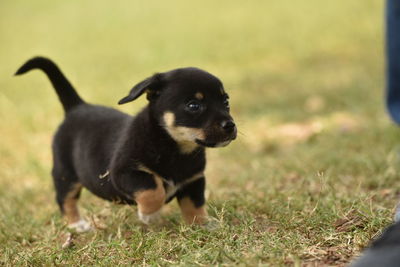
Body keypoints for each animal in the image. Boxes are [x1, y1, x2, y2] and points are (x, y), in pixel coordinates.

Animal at [15, 56, 236, 232]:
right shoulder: (125, 172)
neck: (175, 148)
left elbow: (195, 206)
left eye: (226, 102)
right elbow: (153, 189)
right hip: (65, 174)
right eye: (194, 105)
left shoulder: (193, 181)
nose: (231, 126)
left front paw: (201, 225)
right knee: (65, 200)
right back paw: (77, 225)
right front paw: (150, 215)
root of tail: (76, 107)